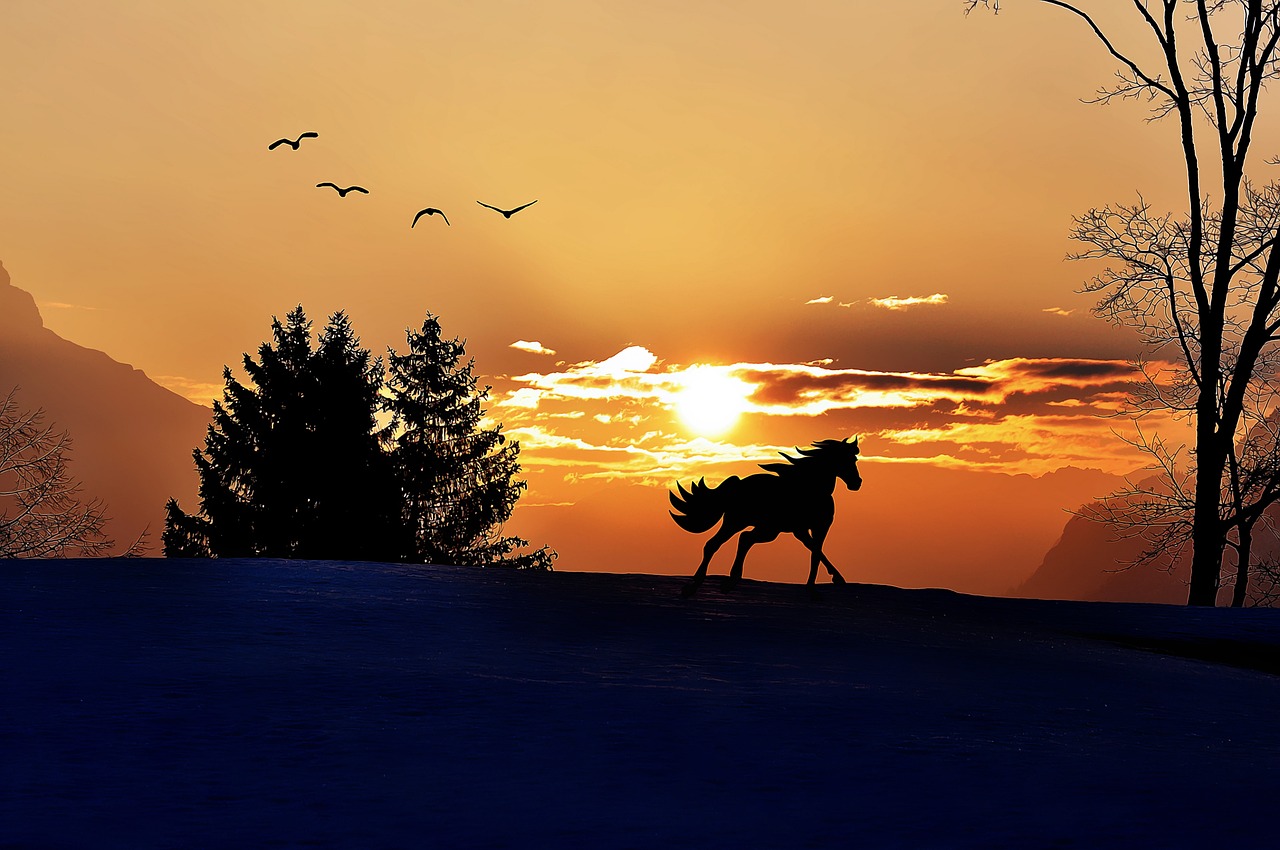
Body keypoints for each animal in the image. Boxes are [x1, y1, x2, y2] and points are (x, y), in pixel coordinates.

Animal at [670, 437, 860, 596]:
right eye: (848, 460)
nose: (857, 483)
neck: (812, 489)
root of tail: (737, 484)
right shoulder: (817, 527)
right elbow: (816, 551)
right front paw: (823, 584)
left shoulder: (804, 530)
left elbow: (815, 550)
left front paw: (821, 583)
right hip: (744, 523)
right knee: (723, 542)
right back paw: (704, 583)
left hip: (762, 528)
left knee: (738, 540)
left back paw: (720, 582)